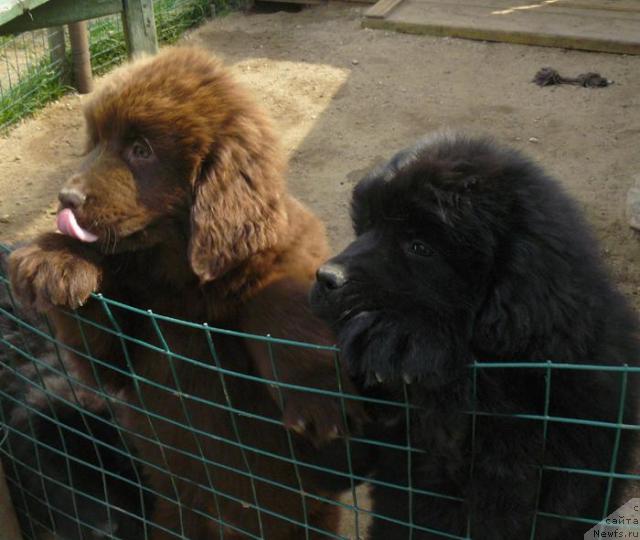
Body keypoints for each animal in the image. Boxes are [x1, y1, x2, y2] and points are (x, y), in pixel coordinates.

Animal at [8, 48, 364, 536]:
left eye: (141, 150)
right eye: (95, 142)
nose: (66, 198)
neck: (179, 280)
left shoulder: (289, 253)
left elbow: (280, 301)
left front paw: (319, 396)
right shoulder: (120, 354)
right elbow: (98, 347)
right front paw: (57, 260)